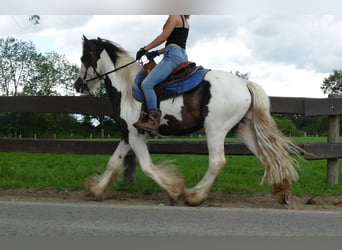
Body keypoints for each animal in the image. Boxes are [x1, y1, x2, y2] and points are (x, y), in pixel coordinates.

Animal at [73, 36, 300, 206]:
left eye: (84, 57)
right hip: (243, 128)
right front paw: (97, 190)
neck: (127, 89)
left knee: (217, 161)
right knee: (266, 156)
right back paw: (282, 190)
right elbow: (113, 162)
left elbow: (146, 166)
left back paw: (194, 196)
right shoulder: (127, 135)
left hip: (215, 129)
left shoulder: (137, 134)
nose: (78, 85)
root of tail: (245, 84)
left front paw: (174, 190)